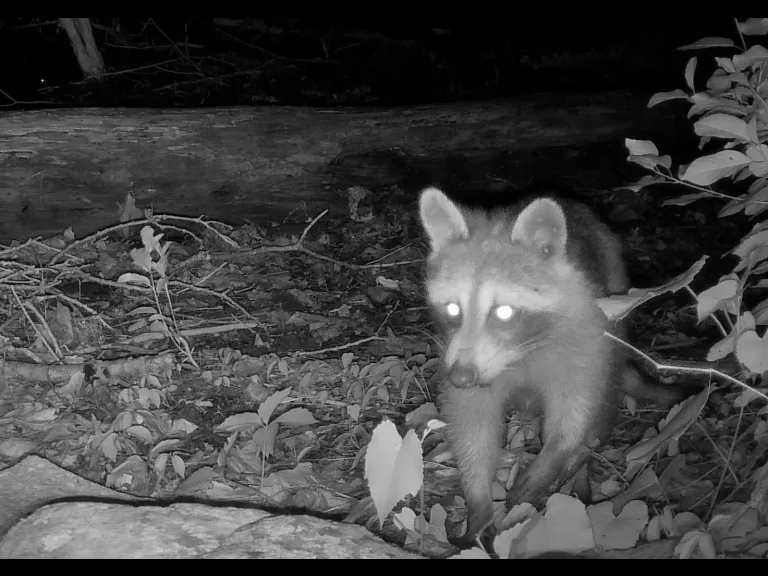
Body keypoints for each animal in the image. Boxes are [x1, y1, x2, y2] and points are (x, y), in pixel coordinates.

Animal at [419, 186, 648, 546]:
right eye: (453, 309)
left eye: (504, 312)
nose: (460, 377)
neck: (519, 352)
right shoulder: (463, 360)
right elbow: (471, 423)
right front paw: (478, 501)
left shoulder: (585, 342)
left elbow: (573, 420)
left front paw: (543, 472)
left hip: (617, 298)